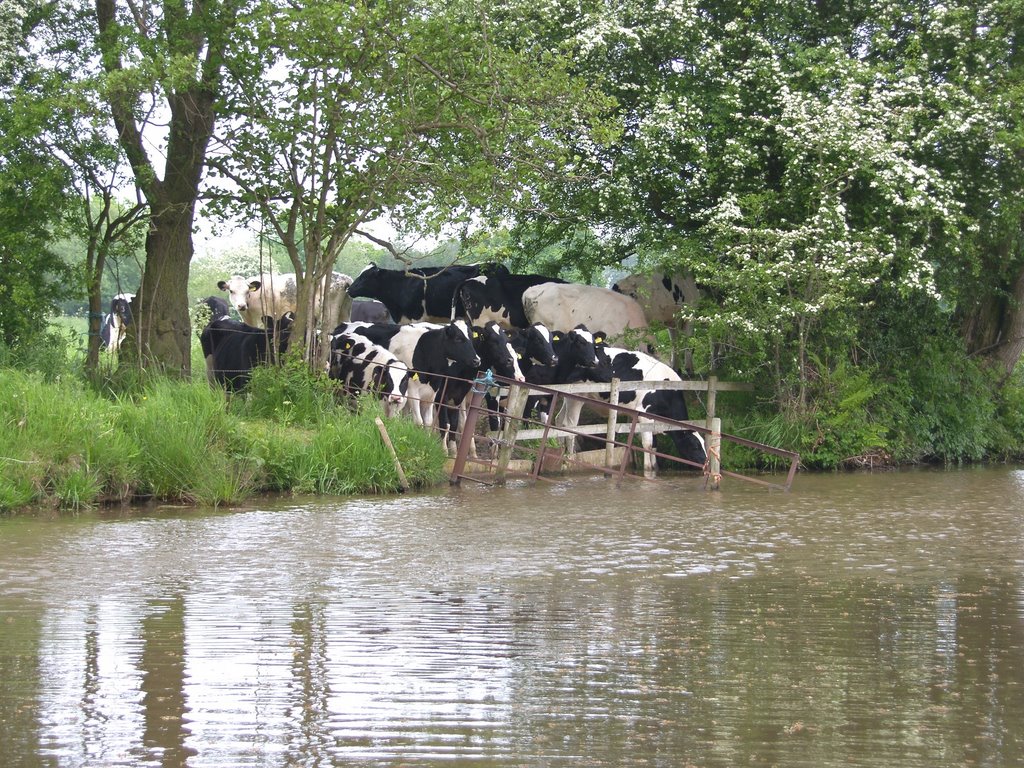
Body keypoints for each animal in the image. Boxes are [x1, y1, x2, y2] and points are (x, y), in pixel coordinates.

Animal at [557, 342, 708, 475]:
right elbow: (648, 444)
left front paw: (655, 468)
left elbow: (654, 445)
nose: (706, 464)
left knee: (559, 421)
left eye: (704, 444)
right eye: (695, 446)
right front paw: (648, 470)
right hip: (576, 397)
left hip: (566, 396)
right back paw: (570, 456)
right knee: (569, 425)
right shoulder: (645, 415)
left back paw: (560, 449)